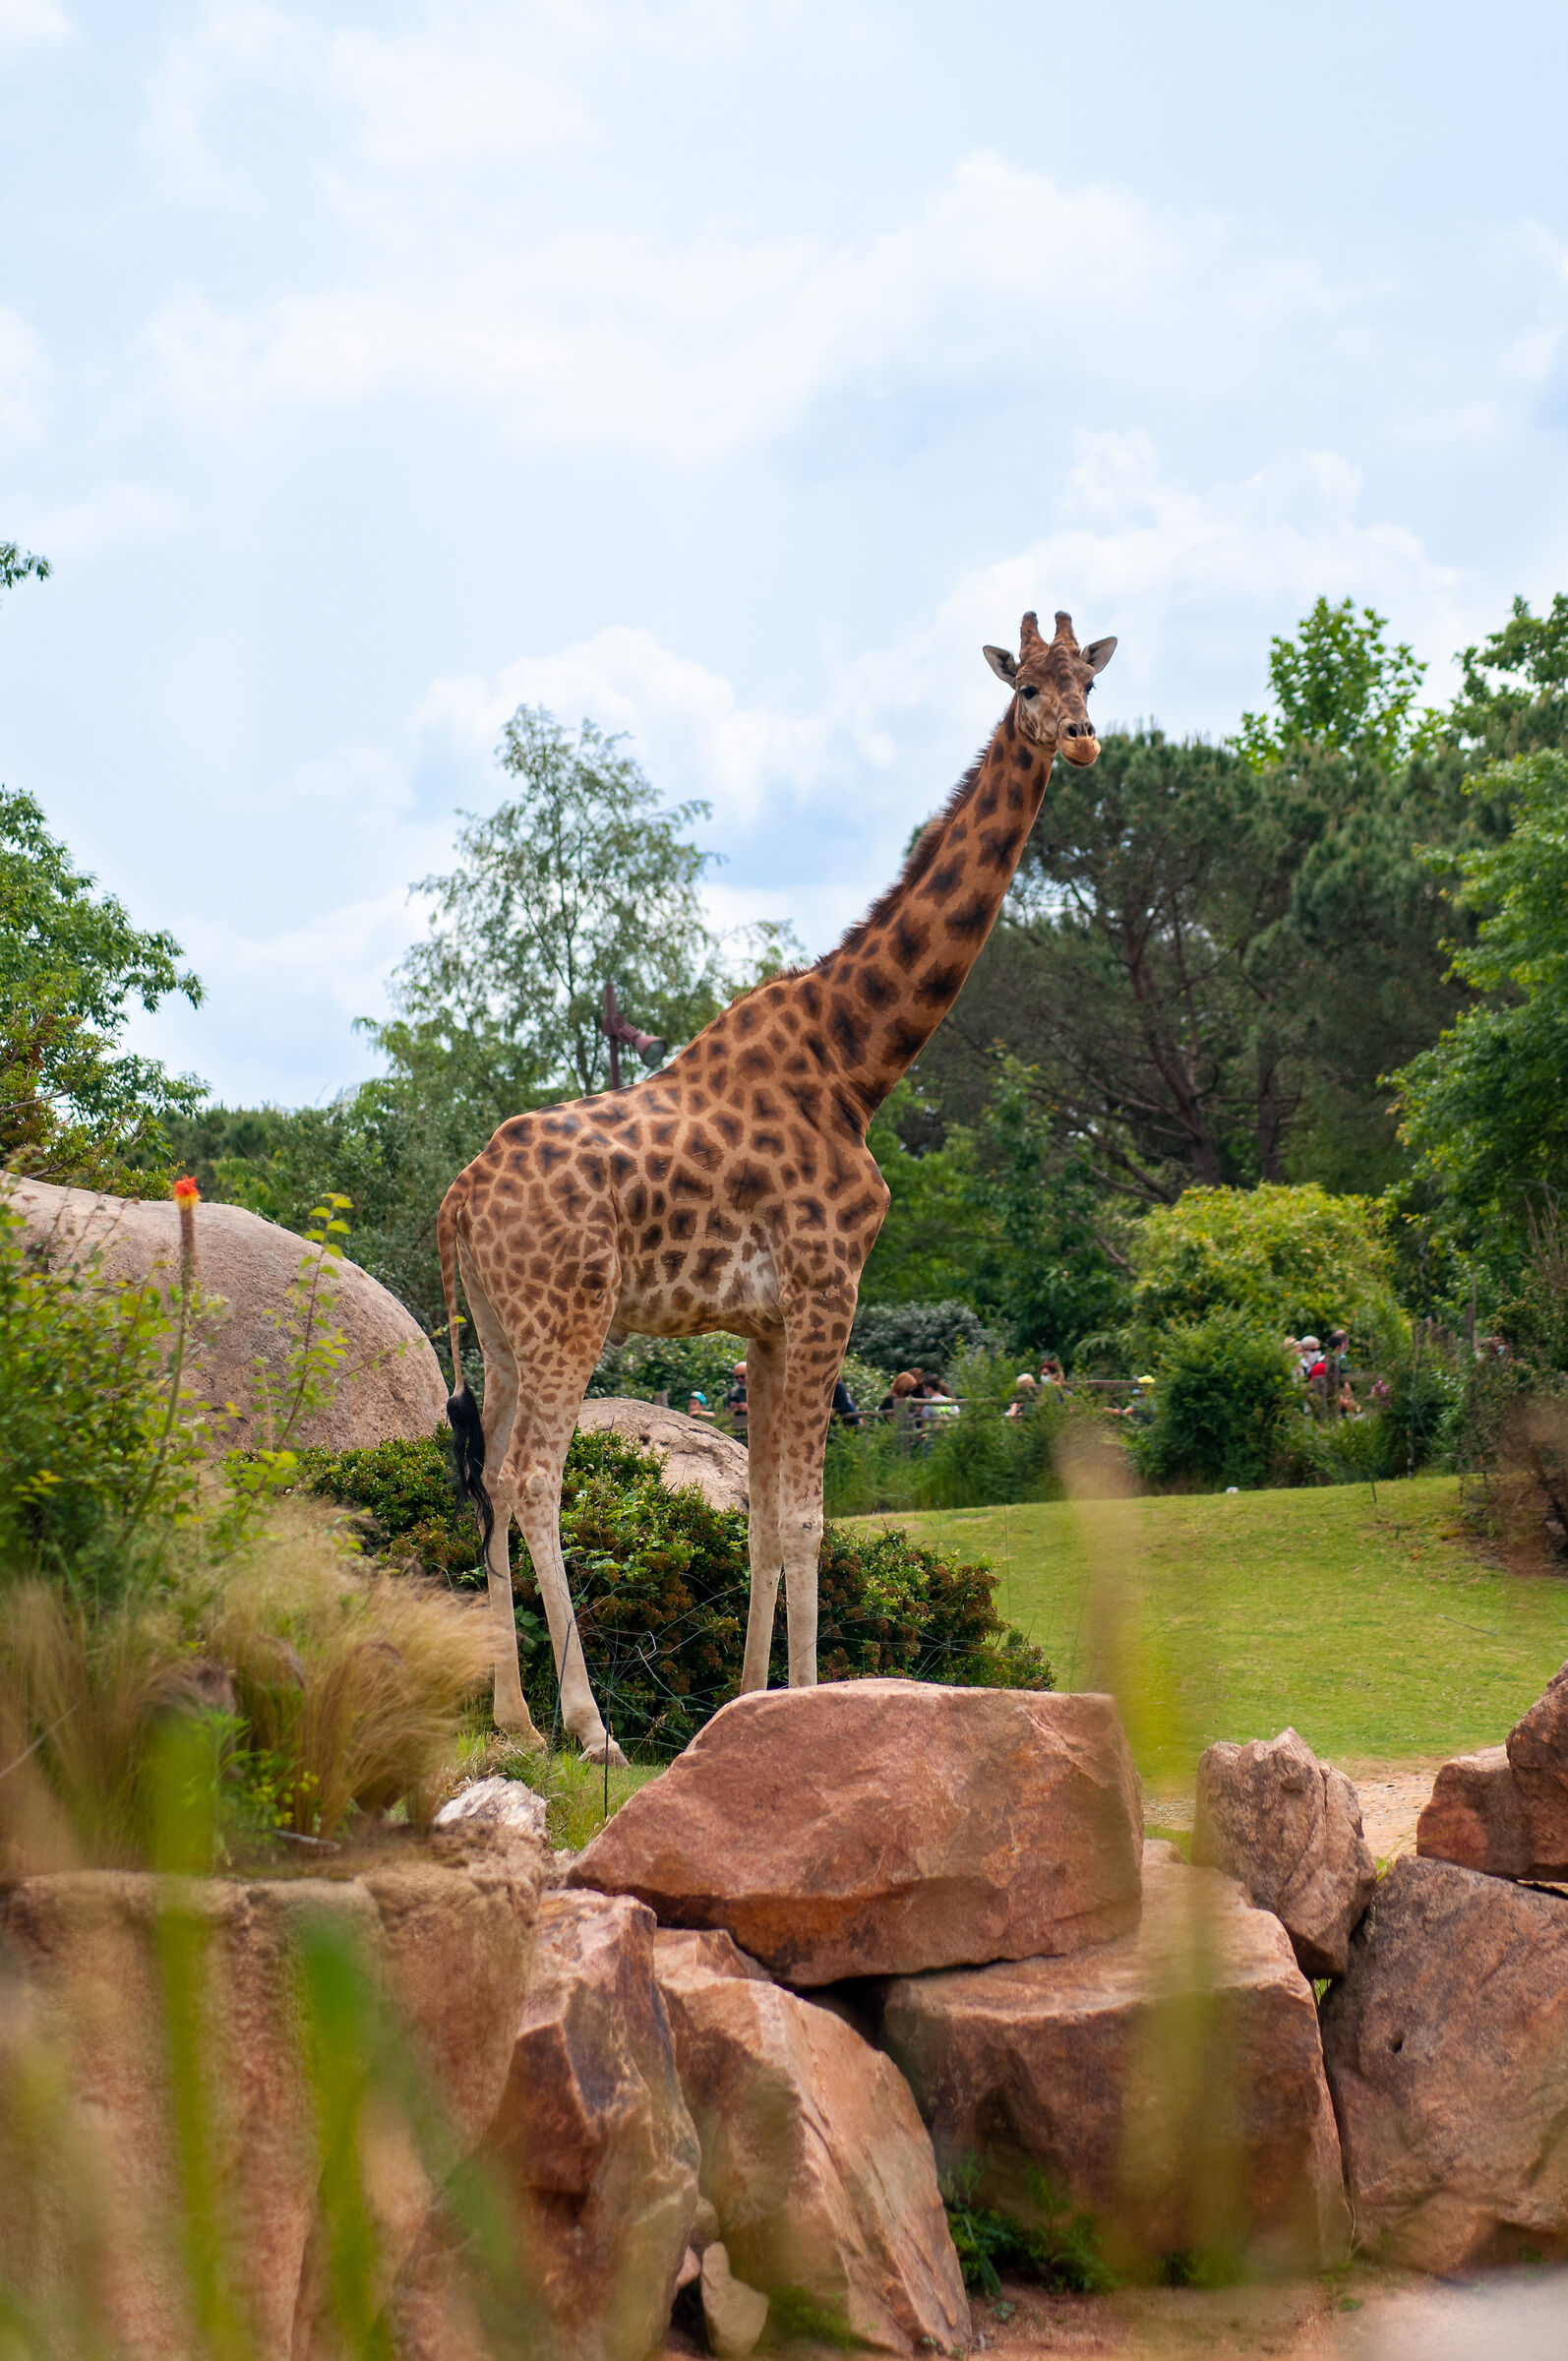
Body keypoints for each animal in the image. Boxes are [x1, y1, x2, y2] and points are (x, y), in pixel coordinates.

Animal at [438, 609, 1116, 1762]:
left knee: (487, 1477)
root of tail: (458, 1197)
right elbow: (806, 1515)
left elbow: (758, 1516)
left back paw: (515, 1722)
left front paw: (750, 1706)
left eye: (1090, 681)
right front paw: (807, 1705)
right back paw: (592, 1730)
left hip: (501, 1325)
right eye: (1025, 685)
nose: (1079, 739)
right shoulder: (826, 1287)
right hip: (567, 1315)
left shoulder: (762, 1320)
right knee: (534, 1480)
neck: (856, 1064)